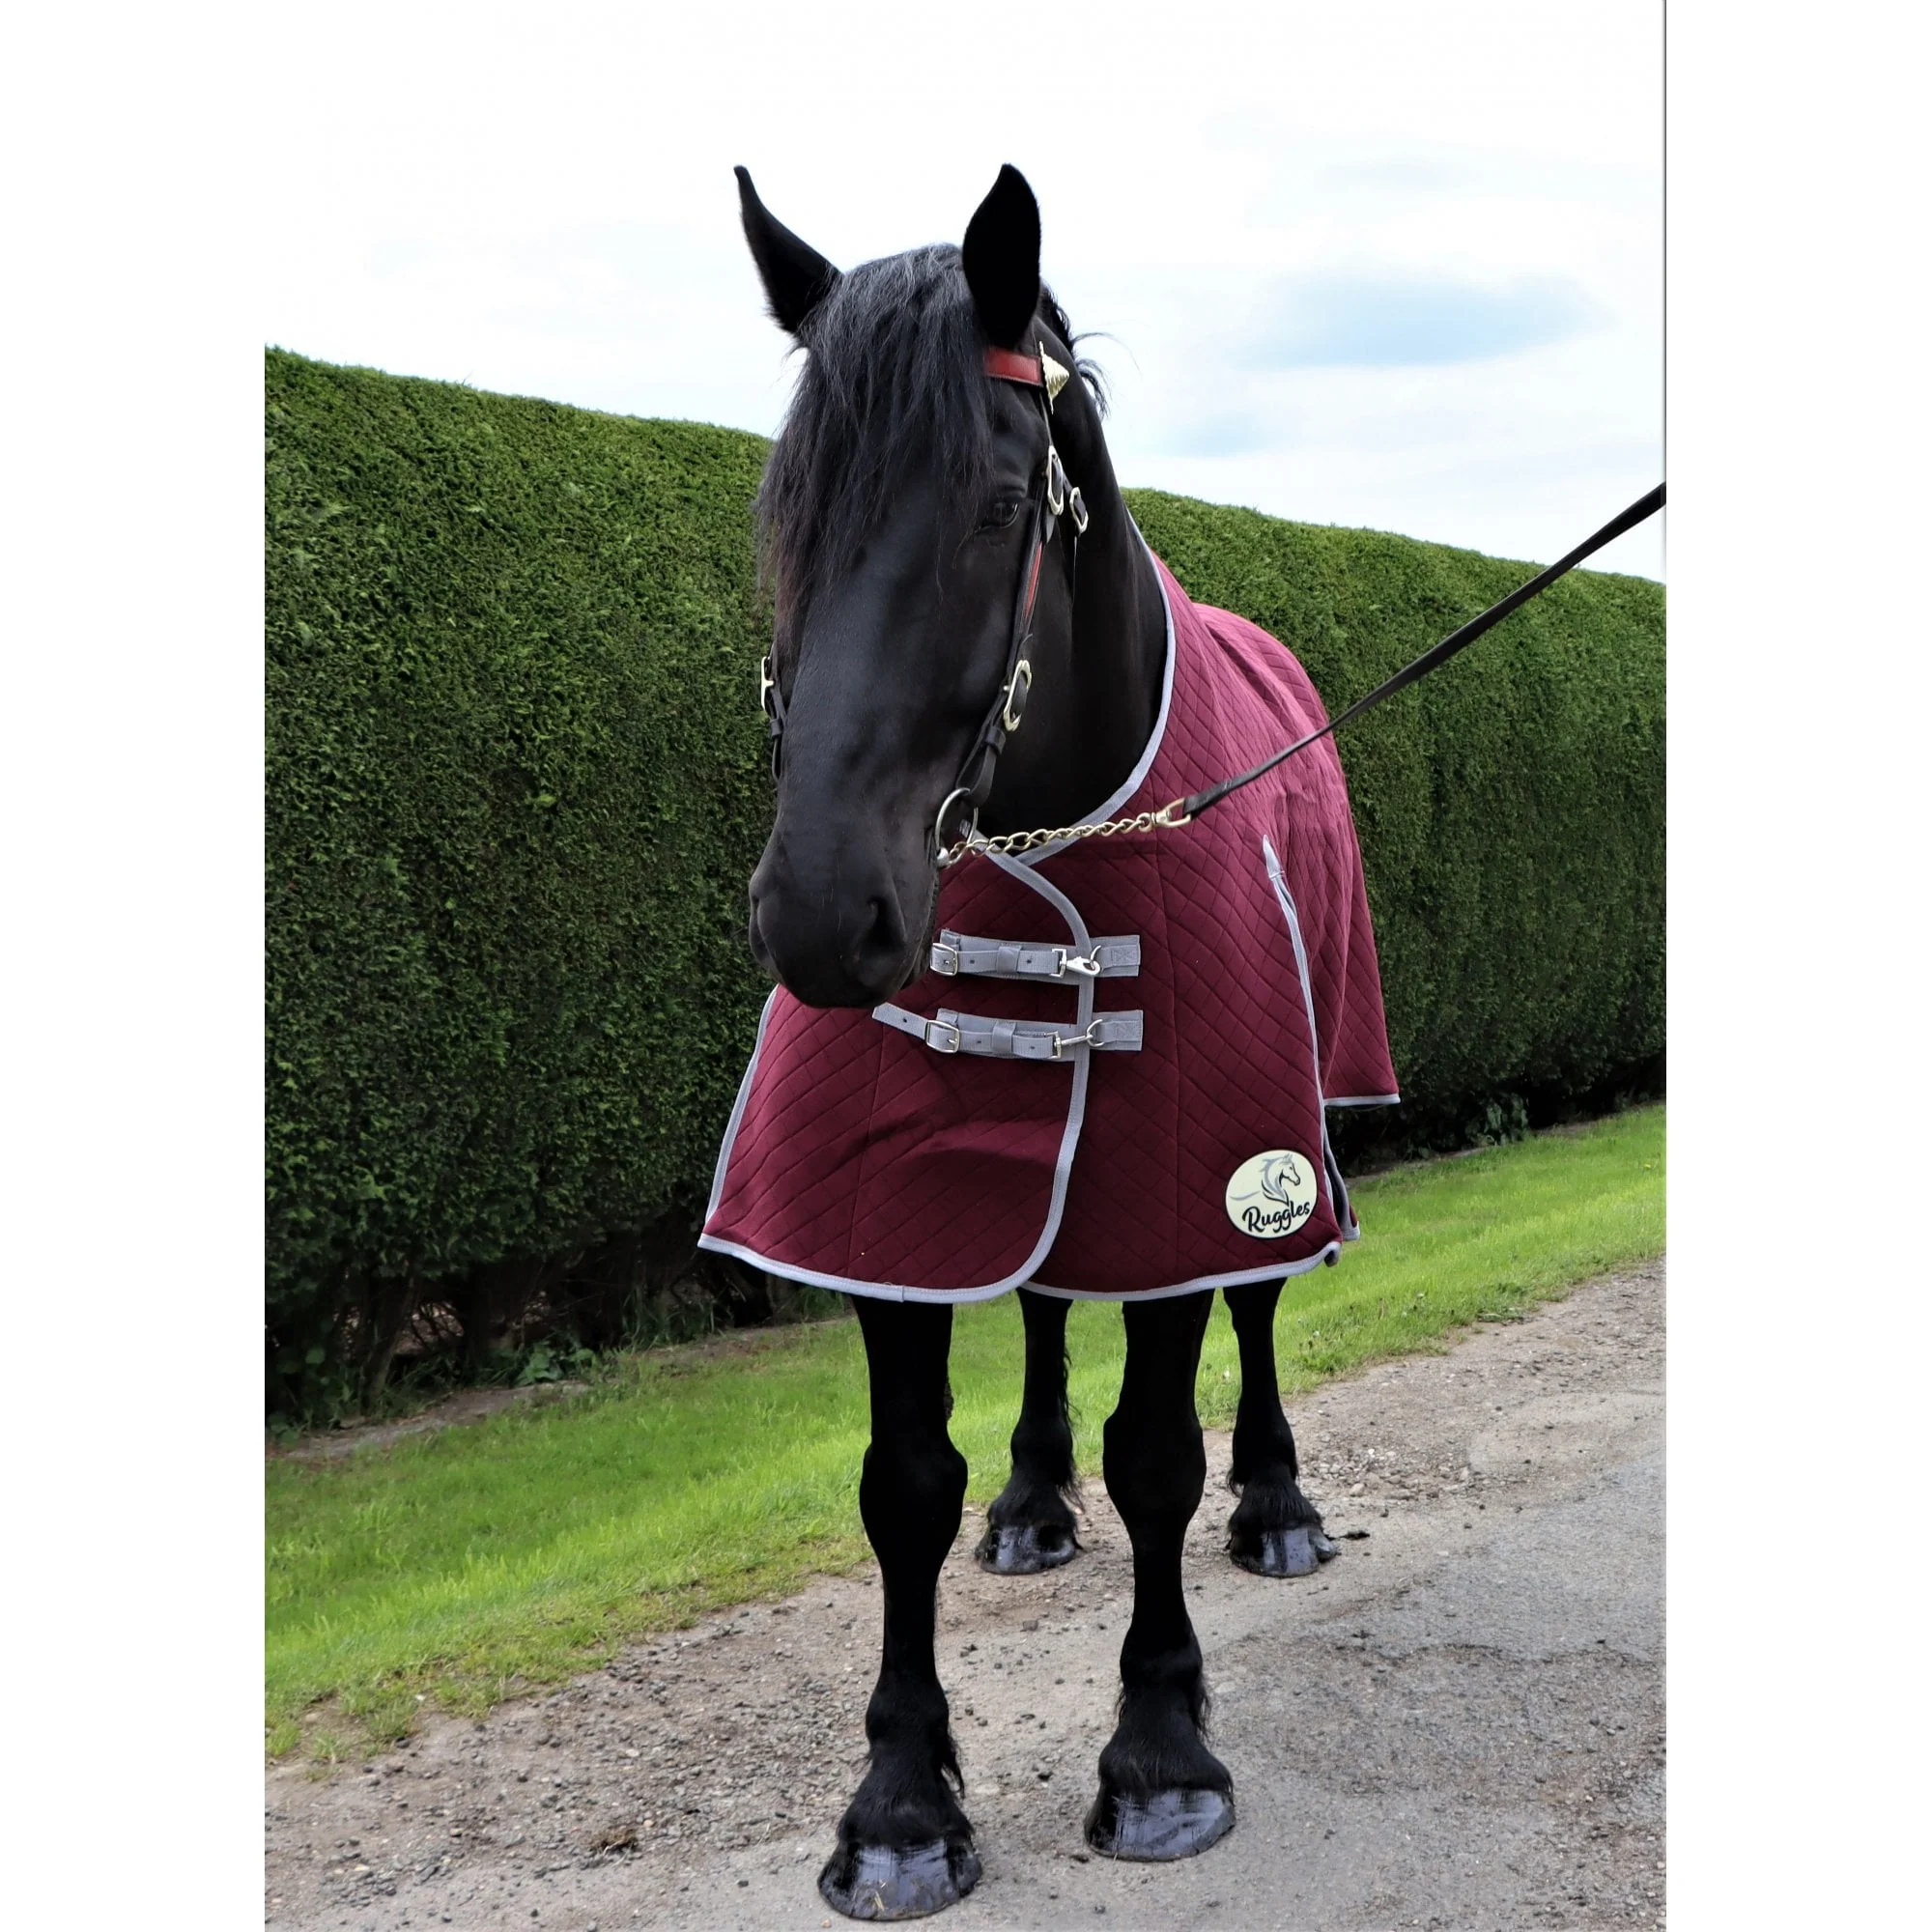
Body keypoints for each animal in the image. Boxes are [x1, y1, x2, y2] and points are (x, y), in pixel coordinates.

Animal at [704, 162, 1399, 1919]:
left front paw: (1160, 1756)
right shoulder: (886, 1202)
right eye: (784, 513)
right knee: (1034, 1303)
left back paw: (1277, 1503)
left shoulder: (1195, 1158)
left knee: (1257, 1310)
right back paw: (1033, 1498)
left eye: (1000, 505)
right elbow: (903, 1483)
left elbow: (1157, 1446)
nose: (823, 914)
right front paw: (899, 1801)